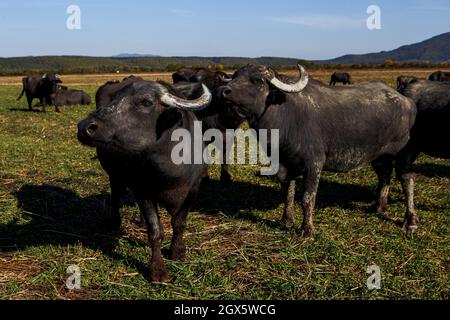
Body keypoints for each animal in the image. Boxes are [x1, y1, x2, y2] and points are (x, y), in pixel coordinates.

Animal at [78, 80, 213, 282]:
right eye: (114, 98)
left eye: (146, 102)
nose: (84, 127)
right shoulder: (142, 190)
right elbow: (155, 231)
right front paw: (158, 270)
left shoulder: (193, 189)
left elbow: (179, 223)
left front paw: (177, 251)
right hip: (113, 174)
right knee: (115, 195)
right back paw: (114, 221)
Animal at [216, 63, 416, 236]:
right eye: (235, 76)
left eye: (257, 80)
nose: (223, 91)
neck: (286, 116)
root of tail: (407, 102)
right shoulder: (285, 164)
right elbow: (288, 193)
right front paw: (287, 220)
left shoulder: (314, 164)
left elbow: (307, 198)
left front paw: (307, 230)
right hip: (380, 156)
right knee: (385, 175)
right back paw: (379, 207)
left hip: (402, 153)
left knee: (407, 180)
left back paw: (410, 221)